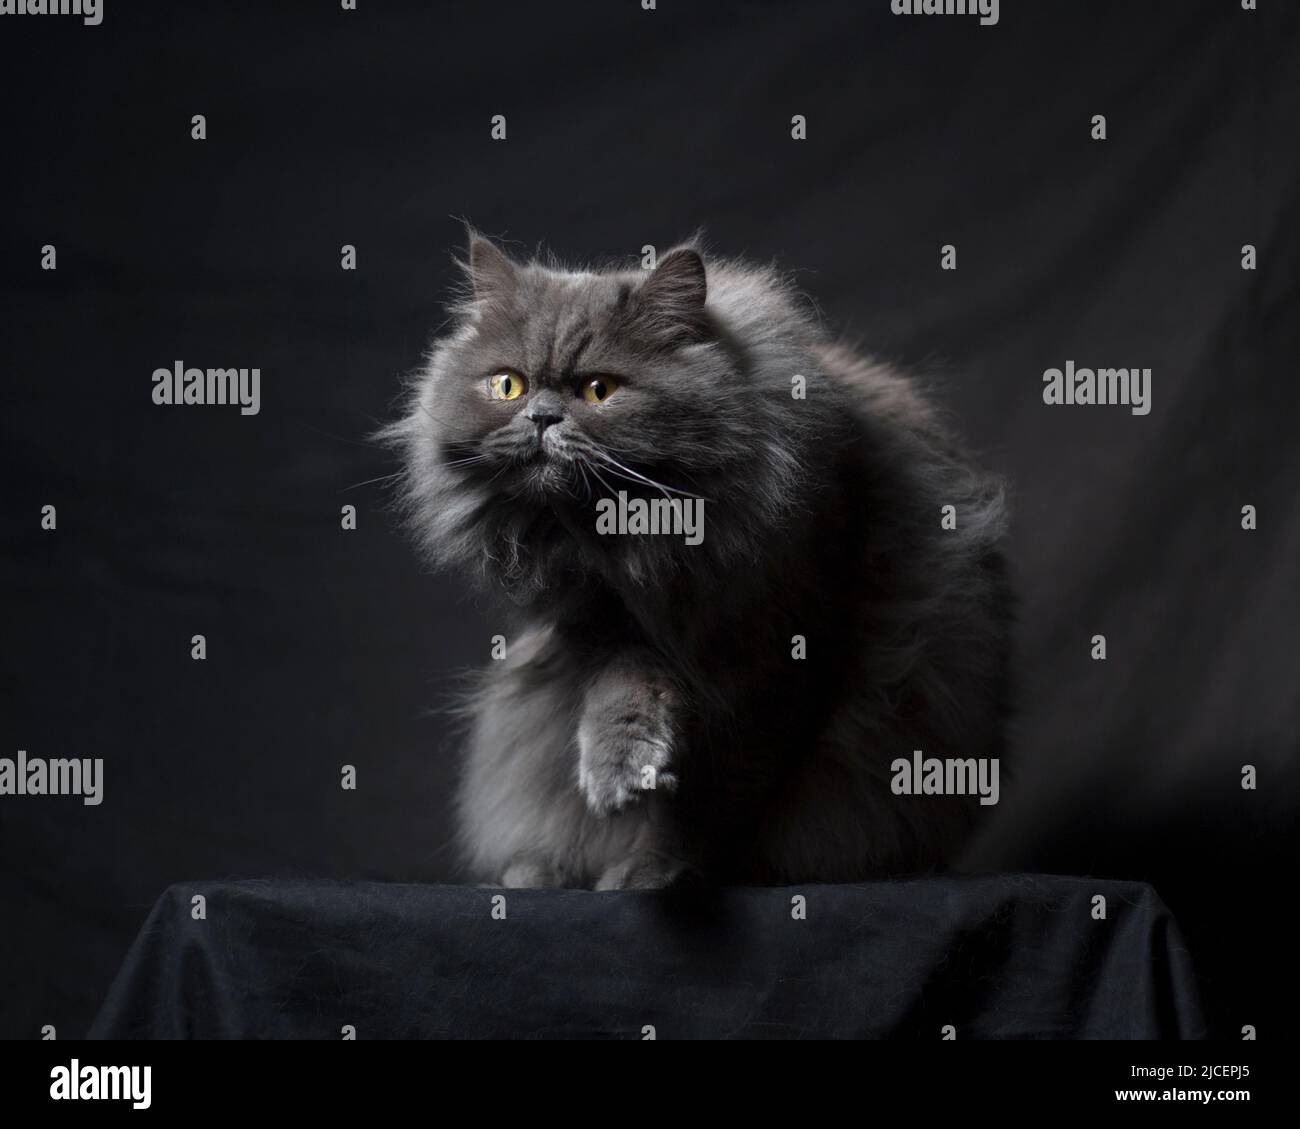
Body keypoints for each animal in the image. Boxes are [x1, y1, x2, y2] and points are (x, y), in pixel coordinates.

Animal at [379, 234, 1008, 889]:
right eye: (508, 386)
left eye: (599, 390)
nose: (542, 417)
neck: (641, 548)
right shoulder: (607, 626)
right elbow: (625, 699)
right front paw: (623, 777)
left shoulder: (791, 654)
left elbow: (717, 796)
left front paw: (660, 871)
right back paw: (534, 872)